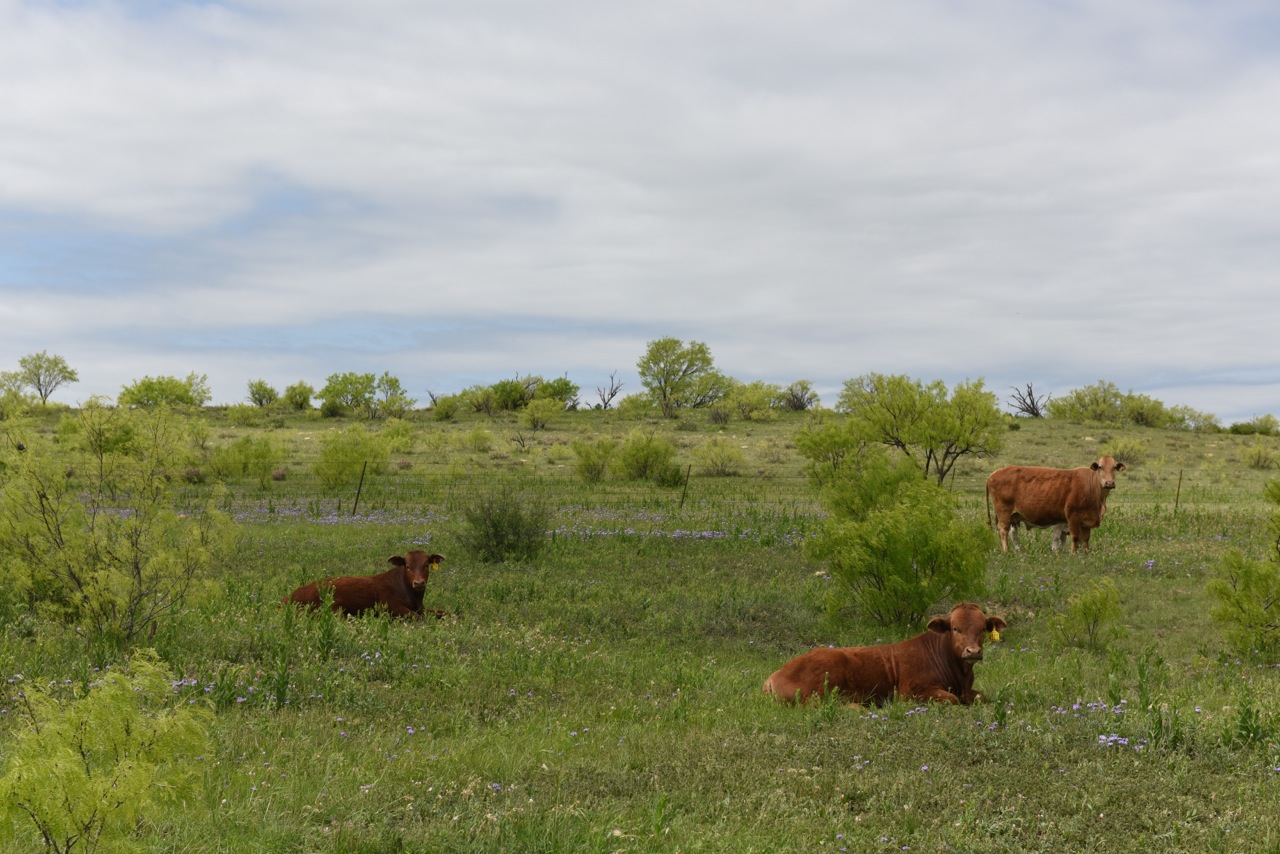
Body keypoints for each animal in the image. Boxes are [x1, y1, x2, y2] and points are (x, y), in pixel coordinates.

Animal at [284, 550, 450, 617]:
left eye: (426, 565)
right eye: (407, 566)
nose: (419, 583)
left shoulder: (422, 608)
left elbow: (446, 612)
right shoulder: (391, 607)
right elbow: (418, 618)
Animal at [757, 604, 1008, 706]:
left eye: (982, 629)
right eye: (955, 628)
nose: (973, 651)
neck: (960, 676)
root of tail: (776, 674)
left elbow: (981, 696)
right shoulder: (911, 692)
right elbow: (952, 699)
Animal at [983, 453, 1126, 555]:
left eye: (1114, 467)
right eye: (1100, 467)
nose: (1109, 483)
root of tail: (994, 473)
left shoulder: (1086, 521)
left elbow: (1085, 539)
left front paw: (1086, 554)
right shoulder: (1072, 517)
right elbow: (1074, 537)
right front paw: (1073, 554)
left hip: (1013, 516)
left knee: (1012, 533)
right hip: (1004, 513)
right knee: (1003, 530)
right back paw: (1006, 551)